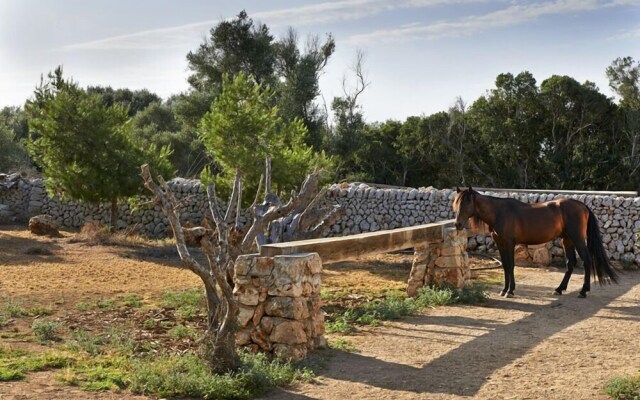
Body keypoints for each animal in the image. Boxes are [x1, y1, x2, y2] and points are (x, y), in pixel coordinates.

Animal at [452, 188, 616, 296]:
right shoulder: (500, 244)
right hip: (567, 240)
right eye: (456, 203)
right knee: (570, 263)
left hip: (578, 239)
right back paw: (559, 289)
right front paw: (504, 290)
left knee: (587, 260)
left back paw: (583, 290)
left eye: (466, 203)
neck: (499, 212)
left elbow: (511, 265)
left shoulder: (509, 243)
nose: (457, 224)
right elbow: (505, 266)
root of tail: (582, 205)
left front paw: (510, 291)